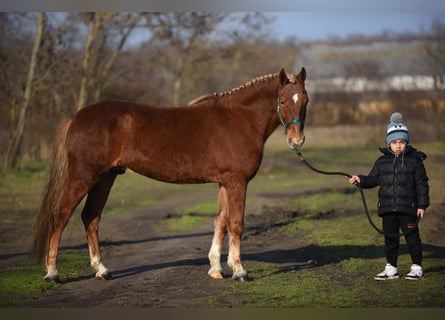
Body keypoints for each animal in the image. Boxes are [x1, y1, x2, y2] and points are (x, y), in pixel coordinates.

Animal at [32, 67, 308, 282]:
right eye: (283, 101)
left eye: (305, 100)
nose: (297, 141)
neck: (238, 118)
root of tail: (76, 117)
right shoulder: (236, 182)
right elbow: (236, 224)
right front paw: (239, 271)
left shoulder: (224, 182)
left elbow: (220, 221)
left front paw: (216, 268)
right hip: (83, 178)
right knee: (61, 215)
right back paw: (52, 272)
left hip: (105, 178)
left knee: (91, 217)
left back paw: (102, 270)